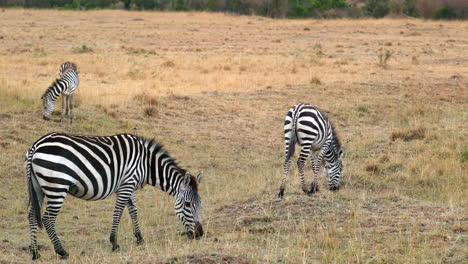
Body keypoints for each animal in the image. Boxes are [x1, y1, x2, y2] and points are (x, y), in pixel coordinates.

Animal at [25, 132, 204, 260]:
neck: (146, 164)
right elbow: (118, 212)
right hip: (57, 186)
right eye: (188, 204)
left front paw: (139, 238)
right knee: (48, 218)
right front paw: (114, 243)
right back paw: (61, 251)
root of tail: (36, 145)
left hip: (38, 188)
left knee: (32, 216)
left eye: (200, 204)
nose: (200, 234)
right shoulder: (126, 185)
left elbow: (133, 211)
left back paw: (35, 253)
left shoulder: (130, 186)